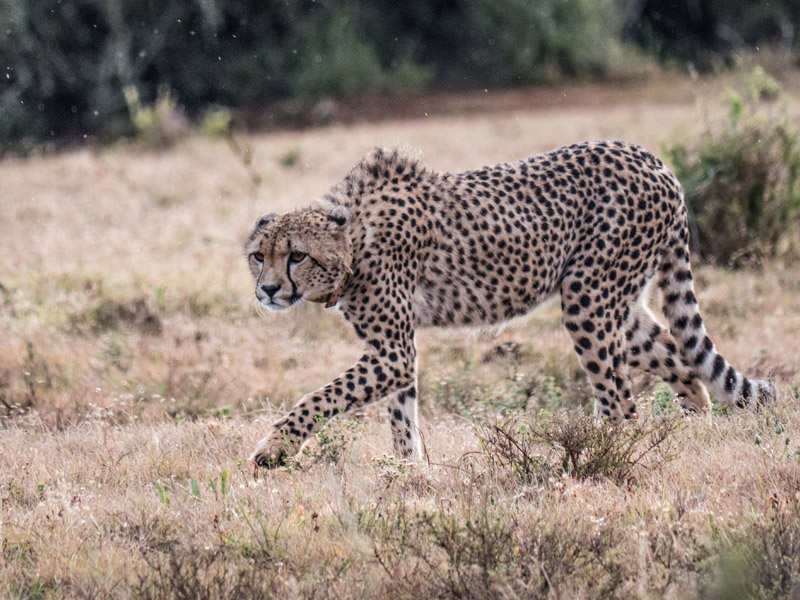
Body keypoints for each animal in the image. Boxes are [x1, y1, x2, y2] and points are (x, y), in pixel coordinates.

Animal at [248, 142, 776, 468]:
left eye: (296, 255)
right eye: (258, 256)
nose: (268, 290)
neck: (353, 239)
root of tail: (652, 159)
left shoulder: (392, 351)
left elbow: (321, 397)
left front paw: (274, 448)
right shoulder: (393, 350)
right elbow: (400, 414)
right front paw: (408, 471)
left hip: (587, 299)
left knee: (623, 402)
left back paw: (603, 456)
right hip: (616, 303)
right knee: (680, 360)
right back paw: (692, 436)